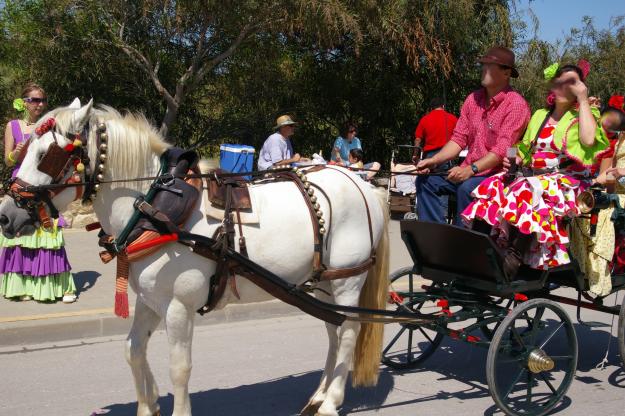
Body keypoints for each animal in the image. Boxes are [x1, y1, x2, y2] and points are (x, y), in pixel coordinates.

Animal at [0, 101, 390, 416]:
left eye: (46, 156)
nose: (6, 215)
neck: (153, 207)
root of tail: (361, 184)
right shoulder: (149, 300)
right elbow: (133, 349)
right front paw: (149, 405)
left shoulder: (177, 306)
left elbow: (180, 368)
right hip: (322, 283)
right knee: (333, 331)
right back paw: (318, 395)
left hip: (347, 279)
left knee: (350, 331)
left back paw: (331, 402)